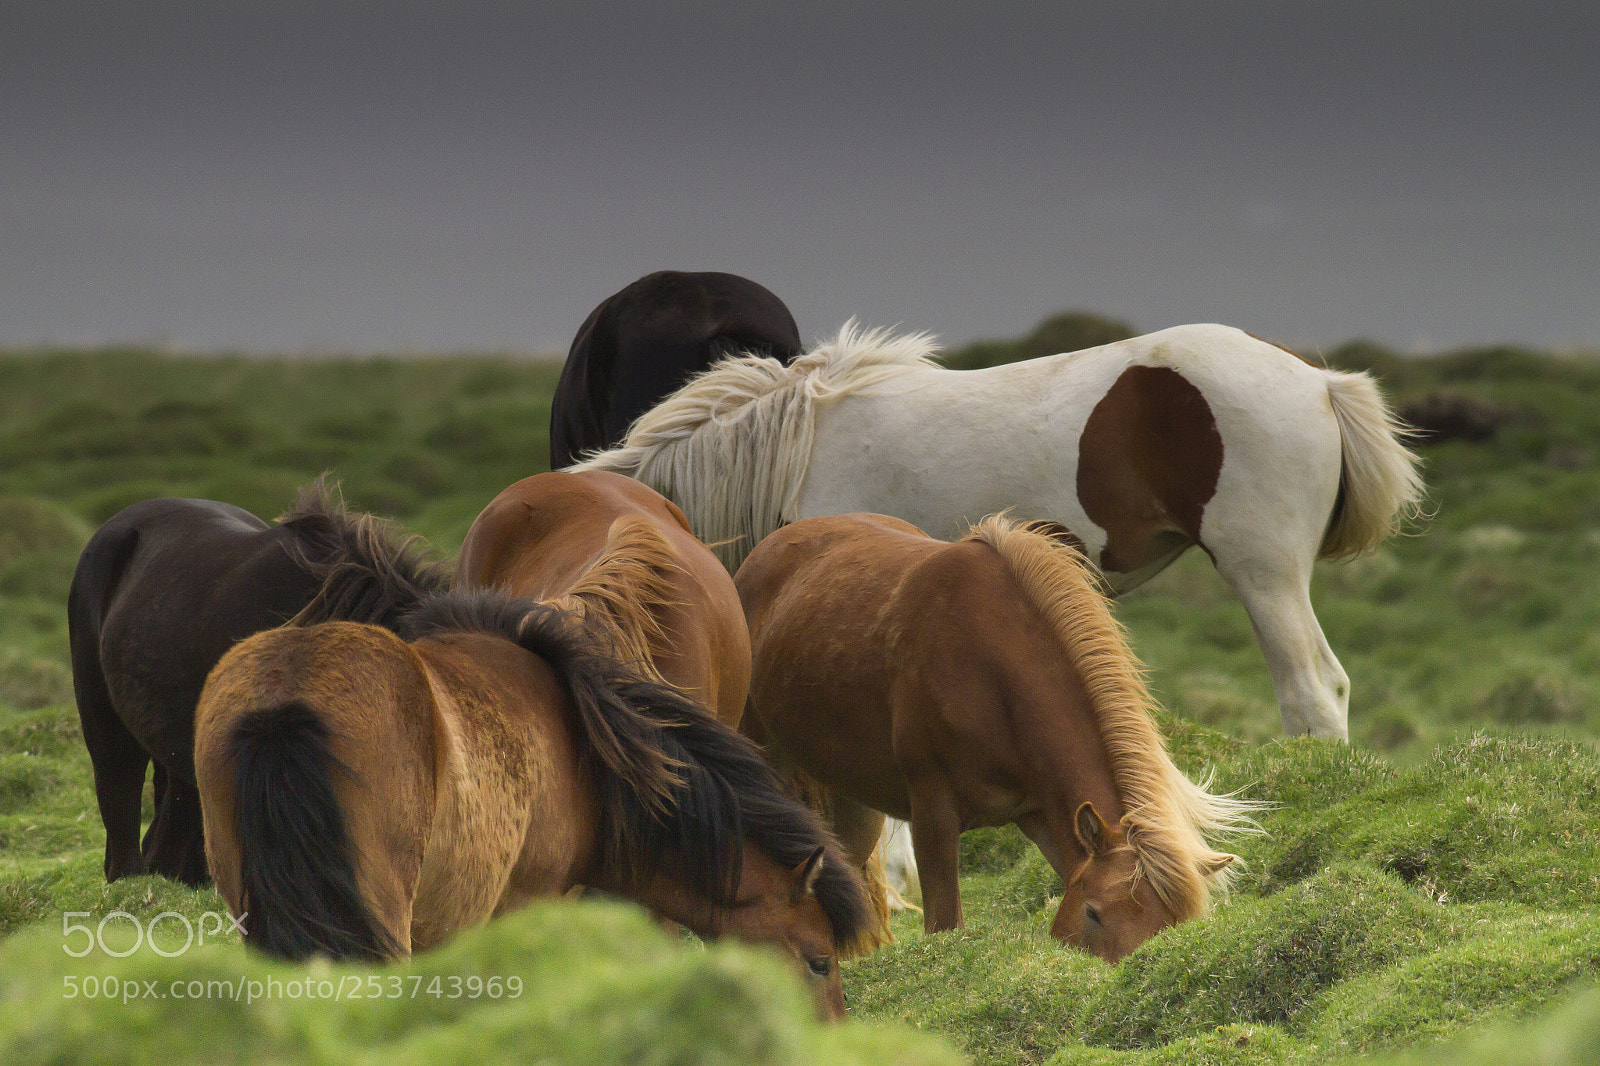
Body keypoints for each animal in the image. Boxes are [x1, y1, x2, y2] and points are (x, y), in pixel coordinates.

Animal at [735, 512, 1262, 960]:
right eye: (1094, 913)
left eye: (1175, 925)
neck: (991, 670)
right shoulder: (933, 816)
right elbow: (945, 923)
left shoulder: (1045, 818)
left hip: (851, 796)